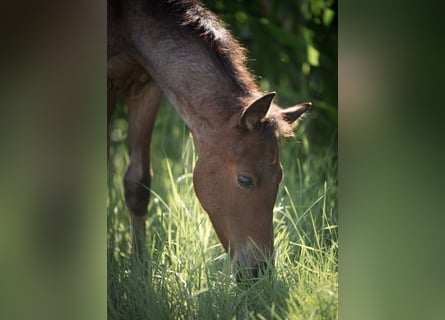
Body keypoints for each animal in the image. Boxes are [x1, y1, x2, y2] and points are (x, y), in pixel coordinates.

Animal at [107, 0, 310, 280]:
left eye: (279, 176)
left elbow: (137, 185)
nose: (260, 272)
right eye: (245, 180)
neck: (128, 24)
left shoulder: (146, 86)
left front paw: (140, 270)